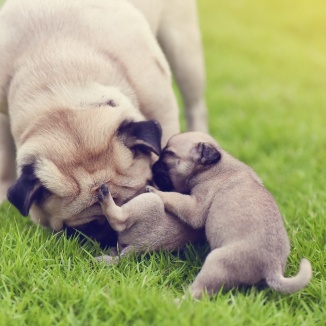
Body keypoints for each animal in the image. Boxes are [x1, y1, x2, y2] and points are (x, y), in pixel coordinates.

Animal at [0, 0, 208, 244]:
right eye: (87, 227)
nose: (115, 233)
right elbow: (5, 158)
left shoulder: (161, 105)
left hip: (184, 50)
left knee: (195, 106)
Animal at [146, 132, 312, 298]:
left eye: (168, 155)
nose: (154, 165)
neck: (211, 168)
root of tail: (272, 266)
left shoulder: (195, 207)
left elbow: (175, 198)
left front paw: (155, 191)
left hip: (216, 263)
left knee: (198, 291)